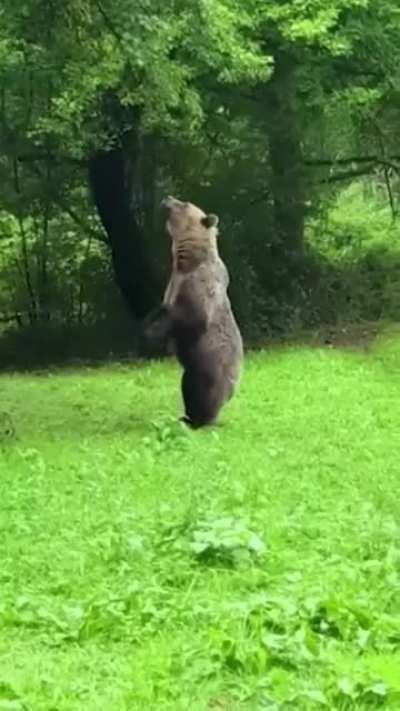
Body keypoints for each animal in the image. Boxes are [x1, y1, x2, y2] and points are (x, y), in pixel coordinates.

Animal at [144, 195, 243, 428]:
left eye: (185, 204)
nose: (167, 198)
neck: (187, 262)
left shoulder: (200, 286)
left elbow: (191, 317)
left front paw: (154, 331)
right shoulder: (172, 285)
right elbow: (161, 310)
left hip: (208, 365)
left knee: (199, 389)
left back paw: (199, 419)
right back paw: (186, 416)